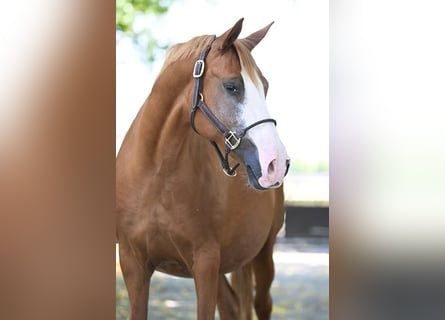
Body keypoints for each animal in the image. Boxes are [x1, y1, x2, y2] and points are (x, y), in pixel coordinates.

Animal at [116, 18, 290, 320]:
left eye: (265, 87)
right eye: (232, 86)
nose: (276, 163)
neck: (155, 176)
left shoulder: (205, 264)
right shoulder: (133, 264)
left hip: (263, 255)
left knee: (261, 304)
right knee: (232, 306)